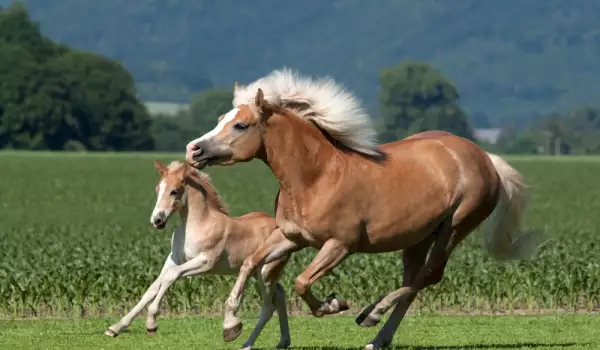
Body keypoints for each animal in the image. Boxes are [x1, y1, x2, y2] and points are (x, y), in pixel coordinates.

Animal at [185, 69, 540, 350]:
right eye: (221, 120)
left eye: (241, 125)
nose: (193, 149)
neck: (316, 176)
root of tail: (484, 158)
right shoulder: (290, 238)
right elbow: (249, 264)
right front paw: (231, 326)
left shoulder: (340, 245)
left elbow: (302, 282)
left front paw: (333, 304)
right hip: (418, 237)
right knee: (415, 279)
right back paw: (378, 337)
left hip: (455, 228)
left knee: (429, 276)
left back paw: (370, 314)